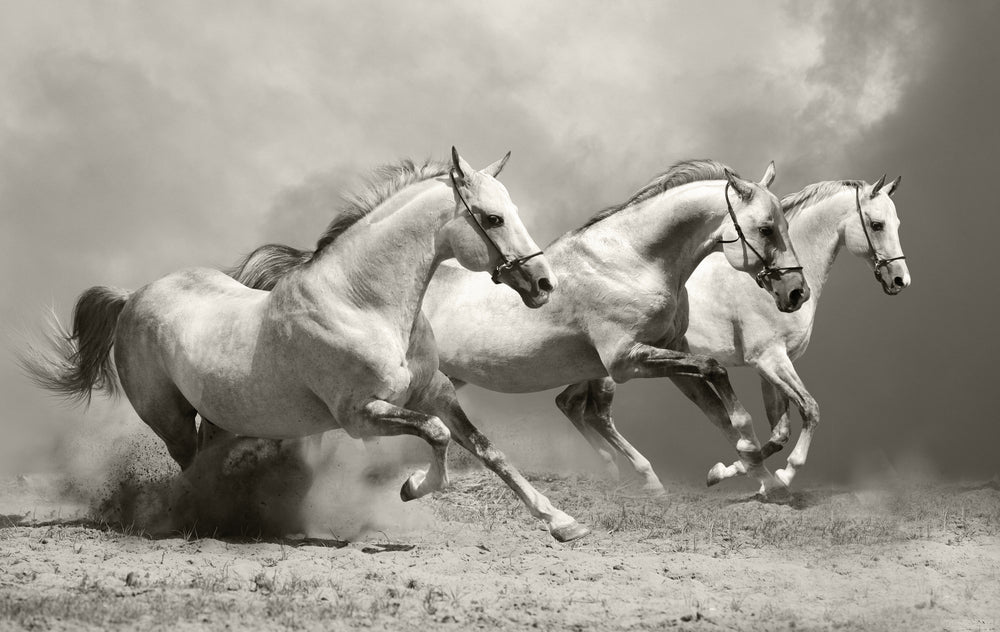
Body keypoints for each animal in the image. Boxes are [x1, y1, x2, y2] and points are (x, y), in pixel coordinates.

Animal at [21, 151, 592, 540]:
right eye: (492, 218)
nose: (544, 283)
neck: (362, 304)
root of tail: (133, 296)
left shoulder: (437, 393)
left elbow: (488, 449)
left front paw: (562, 522)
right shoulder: (360, 415)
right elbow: (437, 435)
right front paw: (411, 487)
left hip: (223, 417)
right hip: (170, 419)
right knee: (190, 467)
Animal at [230, 158, 808, 494]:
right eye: (765, 228)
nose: (796, 292)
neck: (634, 259)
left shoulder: (663, 354)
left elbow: (722, 407)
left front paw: (750, 469)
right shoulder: (627, 360)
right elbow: (717, 375)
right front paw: (751, 463)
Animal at [568, 175, 912, 492]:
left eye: (896, 223)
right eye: (877, 224)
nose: (900, 280)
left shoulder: (770, 367)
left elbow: (779, 433)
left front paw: (730, 472)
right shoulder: (770, 360)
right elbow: (809, 410)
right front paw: (782, 474)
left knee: (570, 404)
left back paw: (613, 470)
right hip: (612, 370)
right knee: (597, 415)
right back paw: (644, 476)